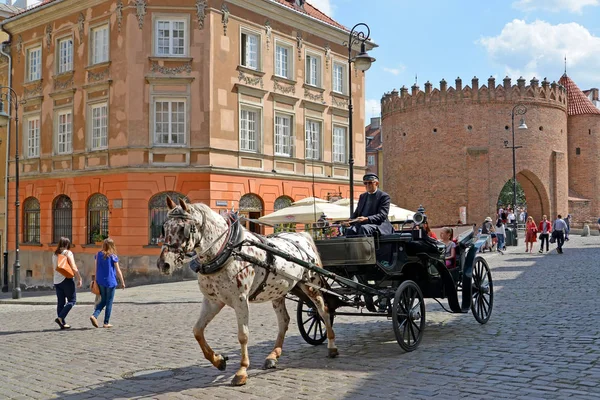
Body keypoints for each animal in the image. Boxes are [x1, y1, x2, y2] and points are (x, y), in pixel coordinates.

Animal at [157, 198, 338, 386]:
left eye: (182, 228)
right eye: (164, 227)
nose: (164, 264)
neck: (228, 250)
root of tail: (303, 236)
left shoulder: (240, 300)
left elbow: (243, 335)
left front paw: (242, 371)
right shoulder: (213, 301)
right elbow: (197, 331)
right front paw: (218, 360)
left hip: (312, 286)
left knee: (323, 312)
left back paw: (332, 346)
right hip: (279, 291)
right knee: (284, 321)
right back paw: (273, 356)